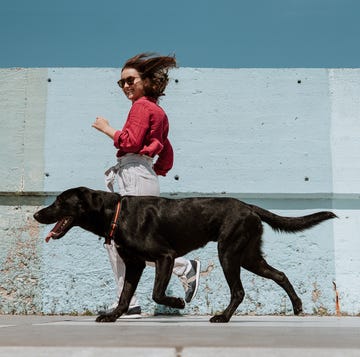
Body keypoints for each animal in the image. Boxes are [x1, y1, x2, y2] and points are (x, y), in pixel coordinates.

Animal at [32, 186, 336, 322]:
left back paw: (223, 317)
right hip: (249, 256)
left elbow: (157, 293)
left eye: (59, 202)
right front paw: (114, 316)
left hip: (229, 253)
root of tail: (250, 206)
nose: (36, 214)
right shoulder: (134, 265)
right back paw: (297, 306)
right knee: (280, 274)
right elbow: (125, 295)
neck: (116, 213)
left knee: (239, 291)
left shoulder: (164, 257)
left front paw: (178, 302)